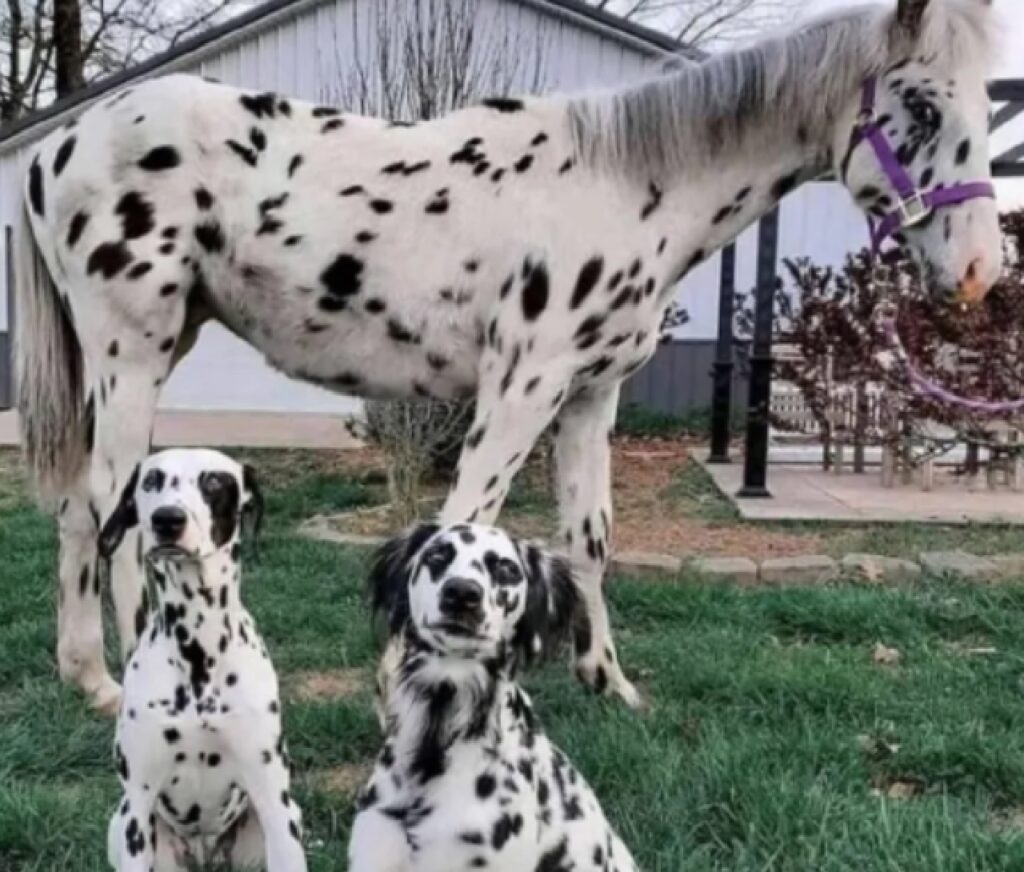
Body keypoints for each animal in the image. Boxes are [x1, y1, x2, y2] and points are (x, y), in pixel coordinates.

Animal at [14, 0, 999, 716]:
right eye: (921, 105)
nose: (982, 271)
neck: (623, 185)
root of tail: (57, 146)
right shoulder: (523, 386)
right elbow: (466, 514)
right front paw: (401, 682)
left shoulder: (592, 395)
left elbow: (589, 536)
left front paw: (607, 682)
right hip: (132, 347)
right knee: (114, 505)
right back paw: (131, 677)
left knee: (81, 508)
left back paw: (89, 675)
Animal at [99, 450, 307, 872]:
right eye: (152, 480)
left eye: (213, 481)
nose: (167, 519)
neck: (199, 652)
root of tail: (204, 850)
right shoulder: (139, 804)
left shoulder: (275, 804)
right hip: (123, 823)